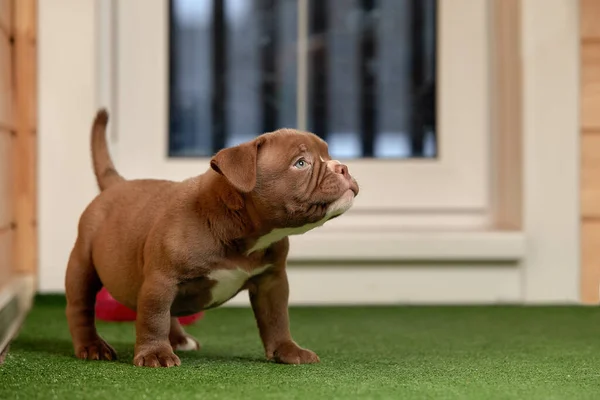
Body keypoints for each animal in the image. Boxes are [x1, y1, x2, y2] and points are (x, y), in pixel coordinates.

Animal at [67, 108, 356, 368]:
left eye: (328, 155)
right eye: (301, 163)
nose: (342, 167)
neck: (243, 229)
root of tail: (116, 184)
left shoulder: (271, 281)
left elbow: (276, 318)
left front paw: (287, 350)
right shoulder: (161, 279)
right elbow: (154, 317)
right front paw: (155, 354)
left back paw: (178, 340)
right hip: (82, 264)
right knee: (82, 306)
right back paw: (92, 346)